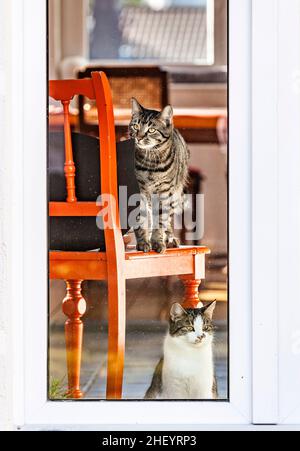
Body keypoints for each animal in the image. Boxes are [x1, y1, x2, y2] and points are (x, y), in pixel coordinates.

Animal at [129, 98, 190, 254]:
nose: (138, 138)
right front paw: (143, 242)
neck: (150, 163)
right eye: (135, 126)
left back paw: (169, 239)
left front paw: (157, 241)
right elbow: (142, 218)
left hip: (174, 195)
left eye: (151, 130)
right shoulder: (140, 190)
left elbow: (161, 220)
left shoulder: (164, 191)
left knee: (167, 220)